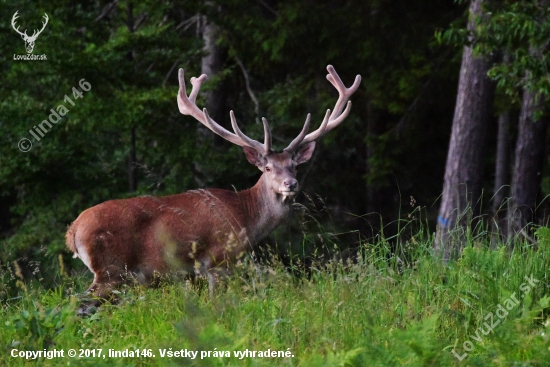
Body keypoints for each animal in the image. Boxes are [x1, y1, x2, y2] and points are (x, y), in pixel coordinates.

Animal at [66, 64, 362, 310]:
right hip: (111, 270)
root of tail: (73, 231)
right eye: (267, 168)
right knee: (77, 305)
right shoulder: (219, 261)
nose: (291, 184)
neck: (246, 218)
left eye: (294, 166)